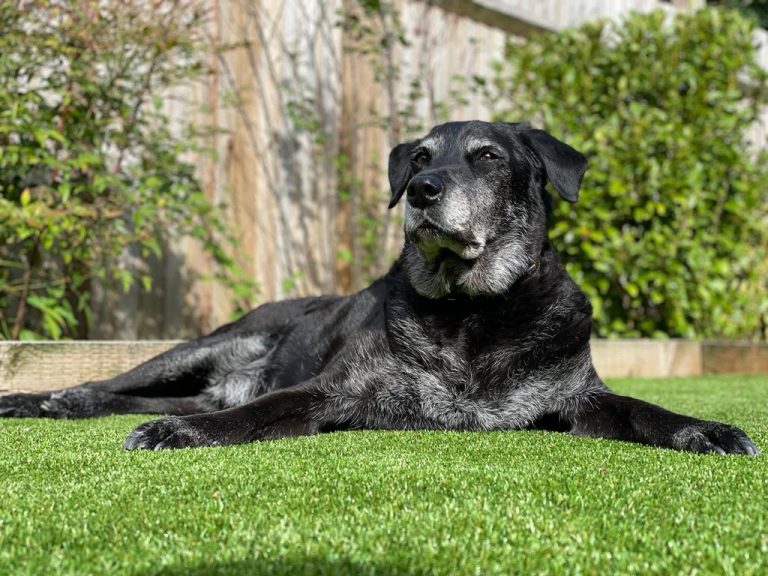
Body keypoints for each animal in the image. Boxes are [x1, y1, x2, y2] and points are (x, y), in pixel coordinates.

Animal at [0, 120, 756, 454]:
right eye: (418, 158)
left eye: (487, 156)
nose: (422, 191)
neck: (472, 313)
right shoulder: (326, 393)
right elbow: (252, 415)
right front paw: (183, 433)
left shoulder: (579, 400)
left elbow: (644, 411)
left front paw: (709, 429)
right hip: (212, 343)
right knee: (113, 384)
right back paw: (46, 401)